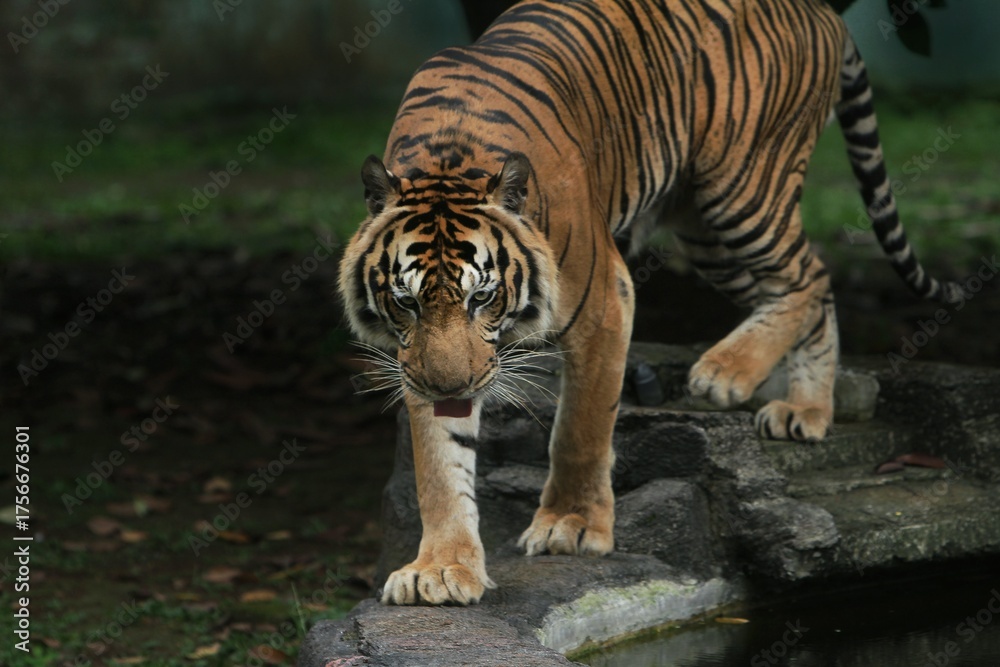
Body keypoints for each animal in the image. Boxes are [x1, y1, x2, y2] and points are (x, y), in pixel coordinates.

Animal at [337, 0, 961, 606]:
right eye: (406, 302)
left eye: (483, 297)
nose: (451, 388)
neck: (448, 157)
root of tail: (823, 11)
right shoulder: (417, 359)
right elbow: (439, 466)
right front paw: (441, 569)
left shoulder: (602, 302)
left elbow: (581, 429)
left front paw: (571, 526)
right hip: (708, 234)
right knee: (812, 289)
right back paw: (805, 410)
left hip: (742, 195)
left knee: (809, 276)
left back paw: (727, 373)